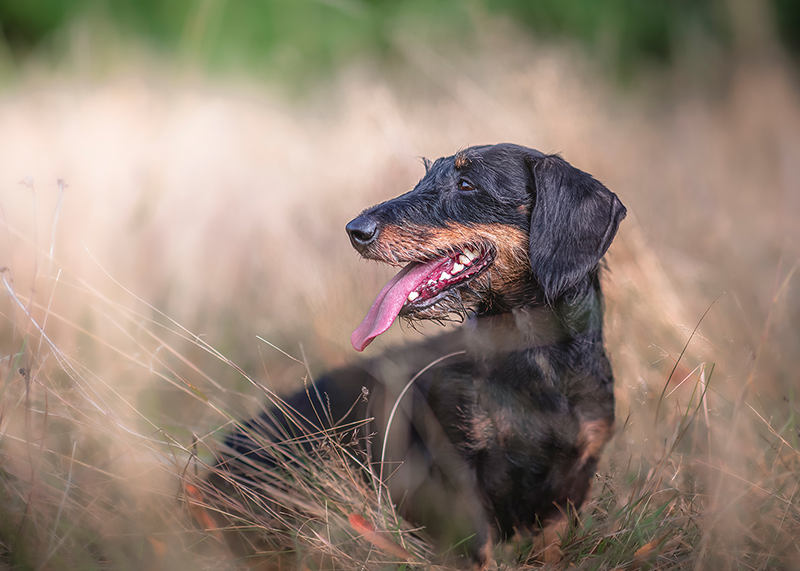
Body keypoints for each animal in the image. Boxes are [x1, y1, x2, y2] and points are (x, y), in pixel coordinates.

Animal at [222, 144, 628, 568]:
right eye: (423, 179)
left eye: (466, 184)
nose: (355, 230)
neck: (533, 362)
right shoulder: (458, 480)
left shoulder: (570, 485)